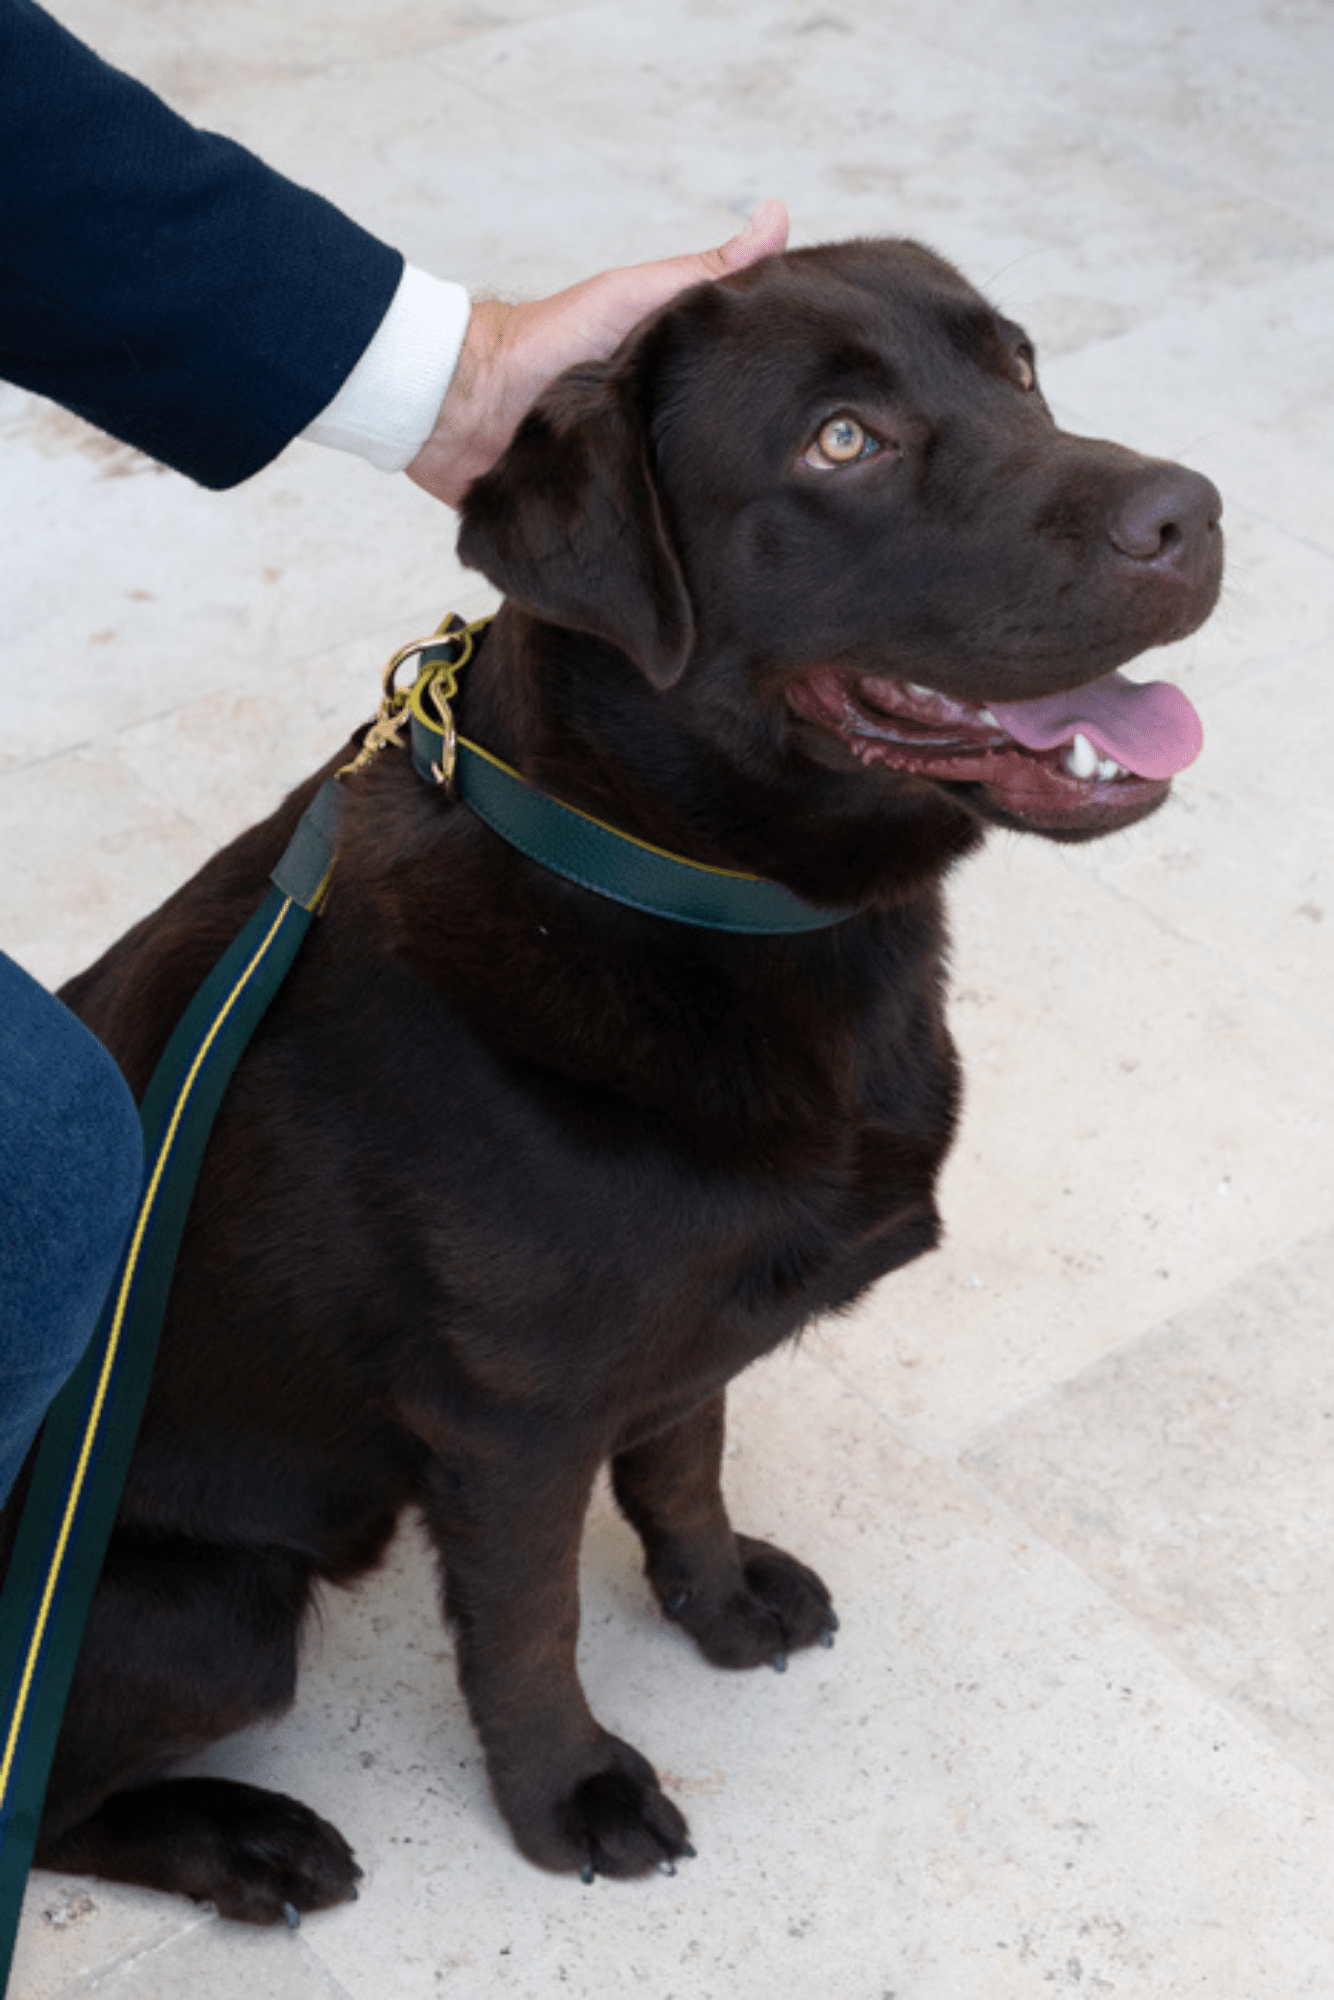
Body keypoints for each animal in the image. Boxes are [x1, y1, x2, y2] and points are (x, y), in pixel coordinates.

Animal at [5, 238, 1224, 1920]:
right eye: (841, 441)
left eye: (1022, 366)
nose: (1193, 510)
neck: (684, 893)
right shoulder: (509, 1423)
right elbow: (529, 1633)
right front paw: (571, 1794)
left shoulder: (691, 1325)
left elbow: (684, 1463)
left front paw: (717, 1601)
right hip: (215, 1608)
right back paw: (244, 1840)